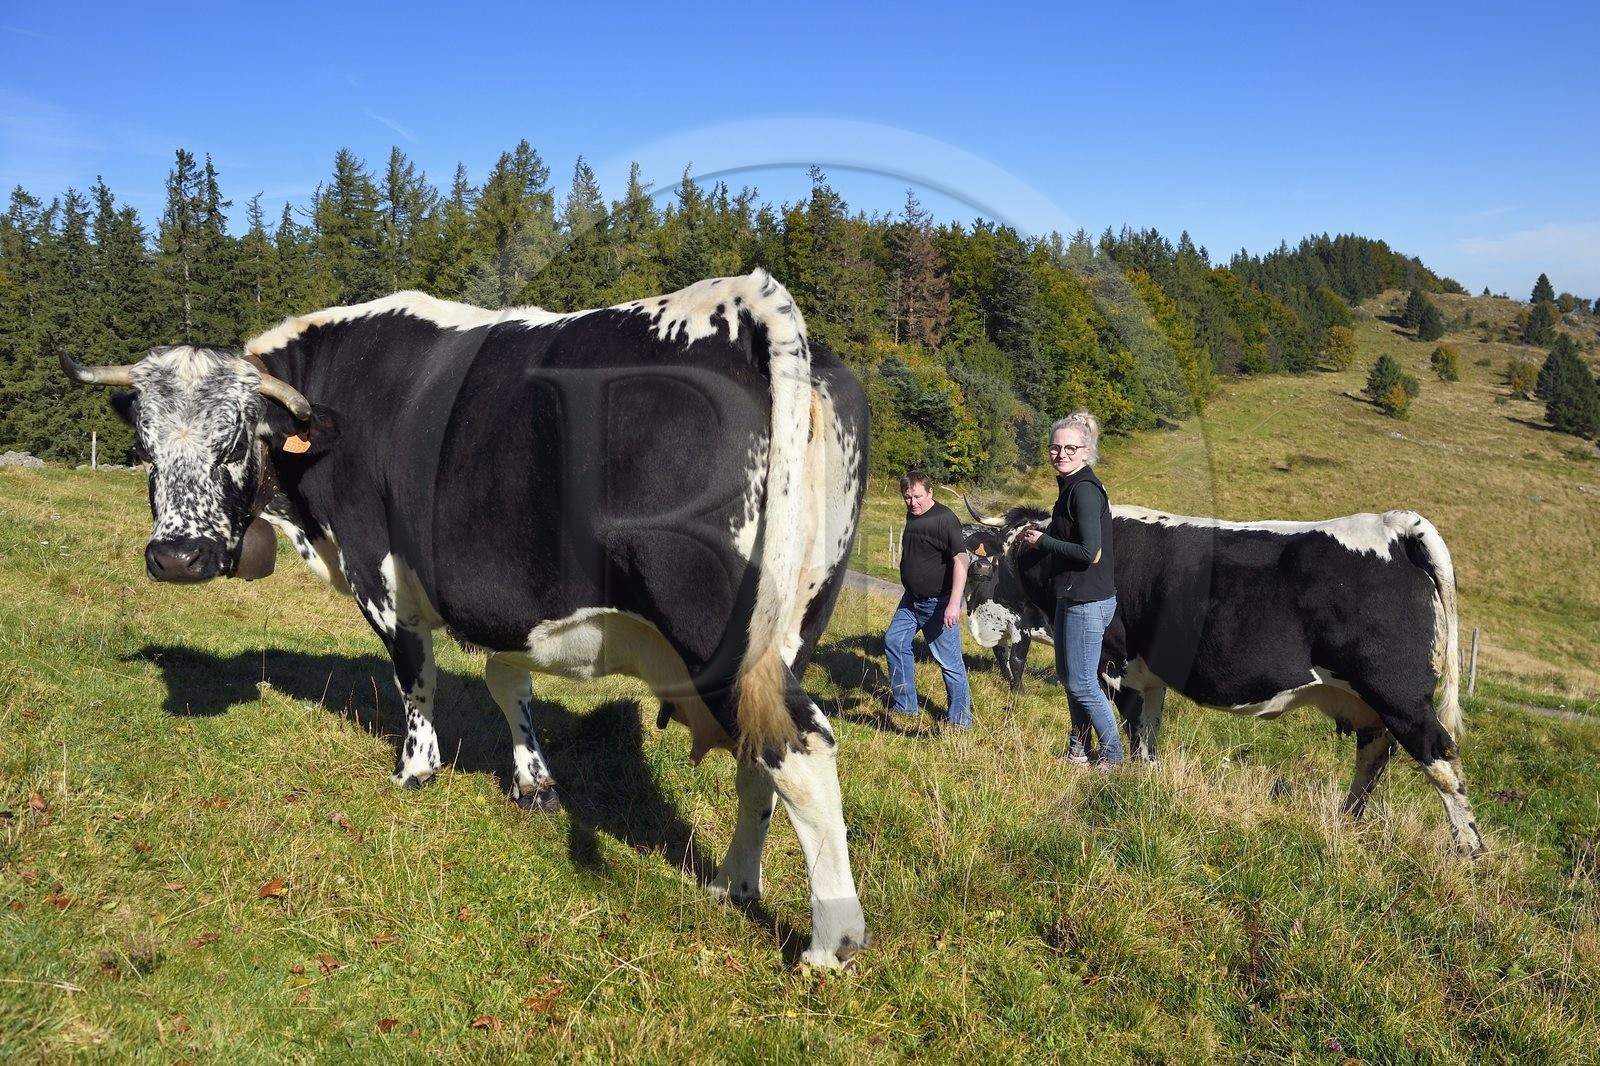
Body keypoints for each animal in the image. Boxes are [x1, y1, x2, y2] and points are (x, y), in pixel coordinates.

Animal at [61, 270, 871, 966]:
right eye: (143, 446)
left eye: (235, 439)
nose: (178, 556)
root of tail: (743, 302)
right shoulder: (502, 597)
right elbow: (507, 684)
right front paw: (534, 782)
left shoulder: (379, 566)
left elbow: (415, 674)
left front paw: (416, 768)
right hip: (789, 624)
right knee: (760, 748)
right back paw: (732, 883)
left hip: (710, 616)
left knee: (804, 744)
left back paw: (830, 943)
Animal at [963, 498, 1485, 856]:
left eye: (996, 559)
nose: (975, 612)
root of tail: (1395, 524)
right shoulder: (1148, 675)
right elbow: (1146, 733)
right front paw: (1146, 782)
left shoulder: (1113, 661)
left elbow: (1116, 720)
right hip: (1370, 702)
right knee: (1374, 756)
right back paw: (1346, 821)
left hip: (1398, 695)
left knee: (1439, 754)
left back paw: (1469, 850)